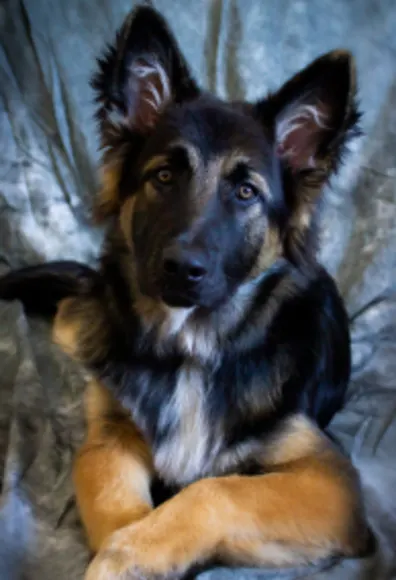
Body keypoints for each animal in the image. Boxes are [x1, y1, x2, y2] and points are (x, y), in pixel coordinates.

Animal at [0, 4, 372, 580]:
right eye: (164, 176)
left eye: (246, 192)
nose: (181, 269)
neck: (191, 350)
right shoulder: (109, 438)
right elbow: (117, 503)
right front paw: (129, 547)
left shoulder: (331, 482)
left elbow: (216, 492)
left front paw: (130, 554)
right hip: (91, 332)